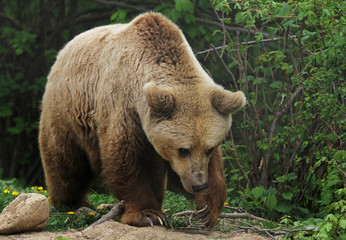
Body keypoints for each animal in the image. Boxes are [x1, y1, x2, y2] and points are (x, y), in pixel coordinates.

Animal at [39, 12, 246, 229]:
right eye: (183, 150)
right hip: (67, 110)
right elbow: (129, 161)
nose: (198, 184)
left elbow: (212, 167)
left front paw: (207, 209)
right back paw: (73, 202)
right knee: (67, 162)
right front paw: (148, 214)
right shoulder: (125, 108)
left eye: (209, 148)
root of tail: (63, 50)